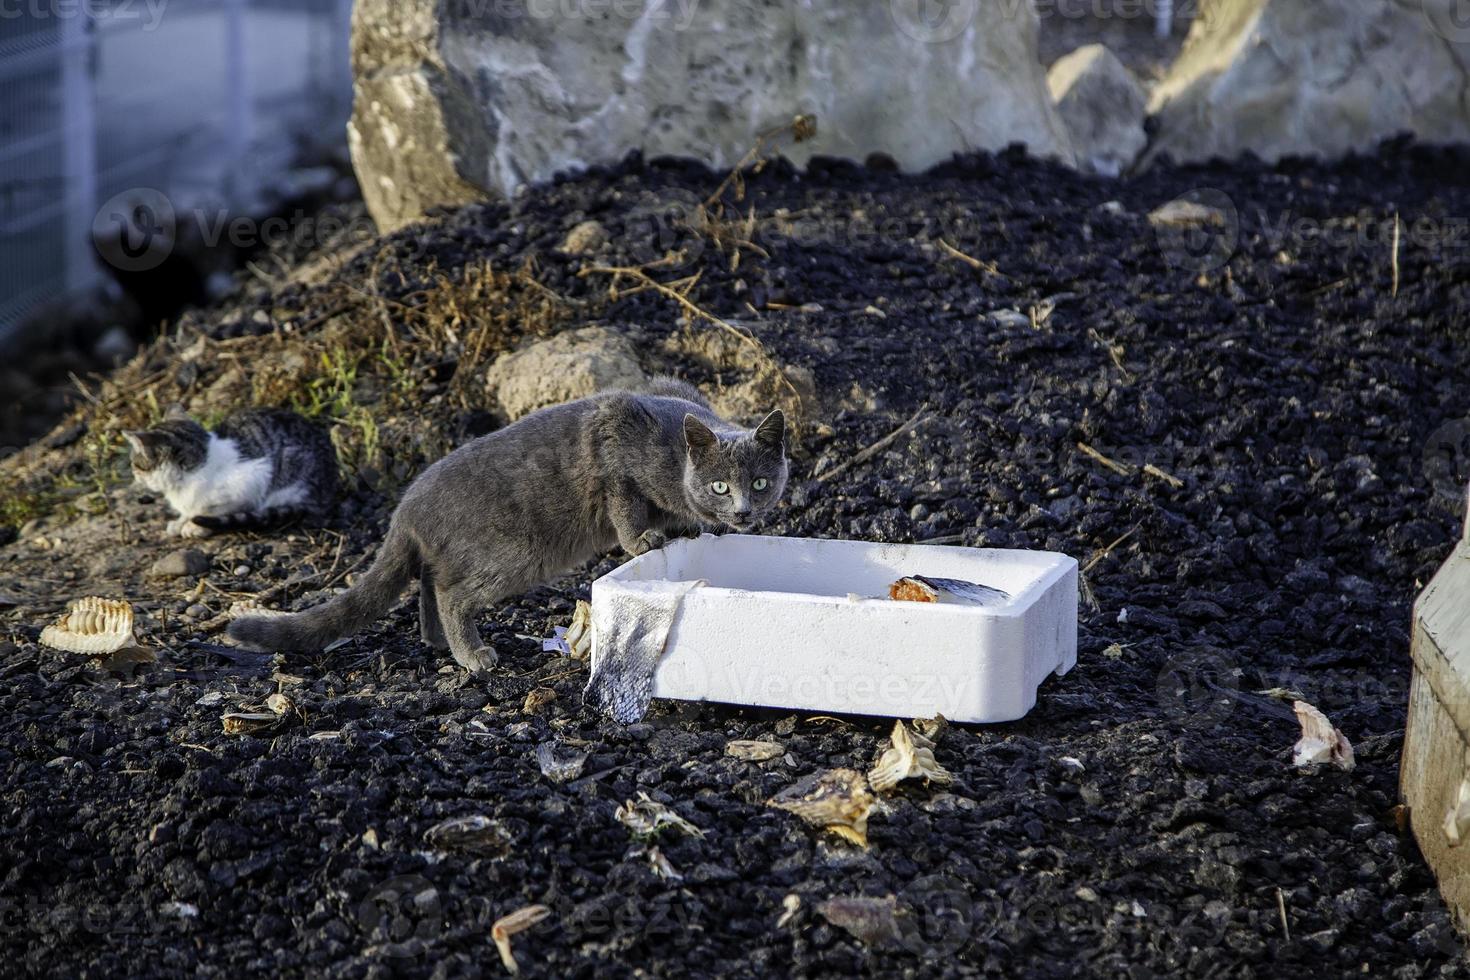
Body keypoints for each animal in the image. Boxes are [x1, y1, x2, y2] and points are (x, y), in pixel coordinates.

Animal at [124, 411, 338, 540]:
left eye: (135, 464)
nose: (133, 473)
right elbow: (190, 510)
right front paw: (180, 521)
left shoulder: (254, 480)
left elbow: (214, 510)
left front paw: (195, 525)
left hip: (291, 471)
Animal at [224, 382, 787, 675]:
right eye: (720, 485)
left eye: (760, 482)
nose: (742, 513)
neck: (673, 455)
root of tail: (405, 509)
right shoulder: (614, 456)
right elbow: (626, 505)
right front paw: (644, 539)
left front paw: (691, 529)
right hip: (514, 552)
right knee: (451, 592)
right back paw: (472, 655)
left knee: (430, 580)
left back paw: (435, 640)